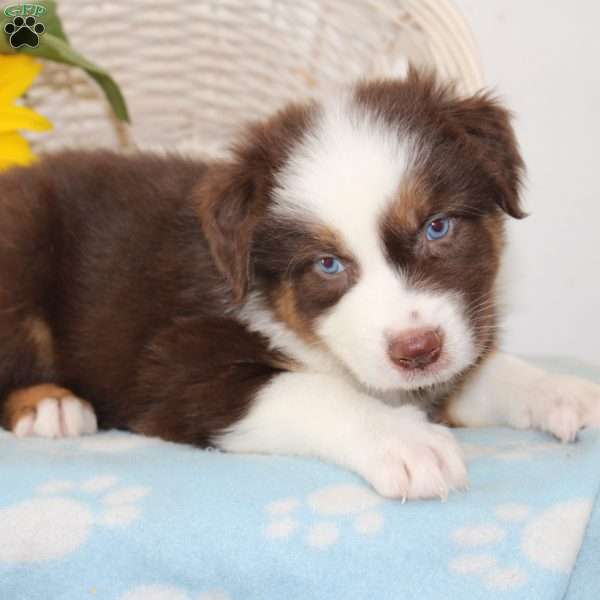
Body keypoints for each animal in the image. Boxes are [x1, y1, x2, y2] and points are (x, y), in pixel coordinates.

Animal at [1, 71, 600, 502]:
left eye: (438, 227)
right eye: (327, 265)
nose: (417, 352)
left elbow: (489, 370)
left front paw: (563, 392)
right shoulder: (174, 369)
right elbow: (309, 390)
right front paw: (407, 441)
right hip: (22, 245)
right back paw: (51, 405)